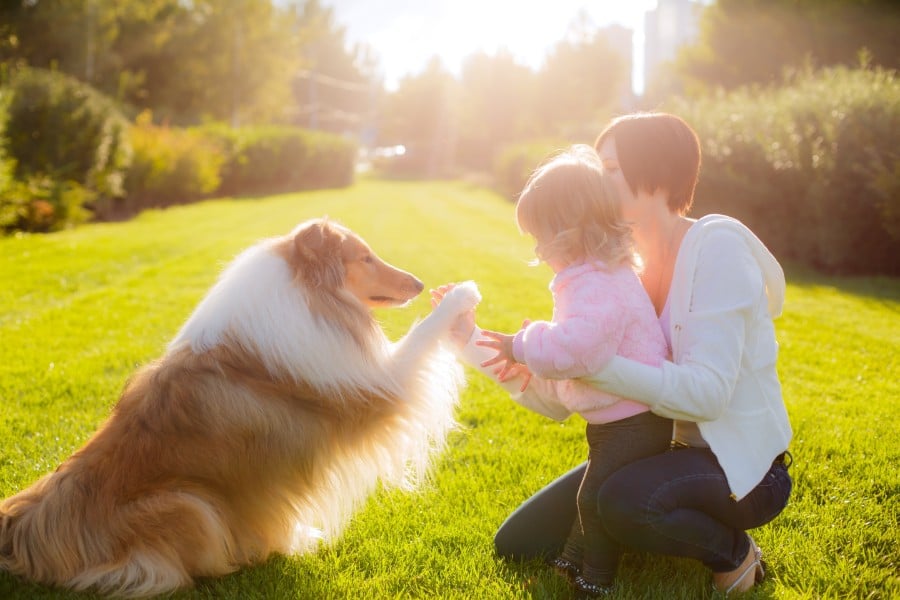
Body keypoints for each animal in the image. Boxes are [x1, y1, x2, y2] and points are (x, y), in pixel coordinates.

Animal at [0, 218, 482, 596]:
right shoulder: (379, 389)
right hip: (189, 504)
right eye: (363, 257)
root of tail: (23, 529)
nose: (419, 284)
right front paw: (461, 295)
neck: (308, 296)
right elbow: (422, 334)